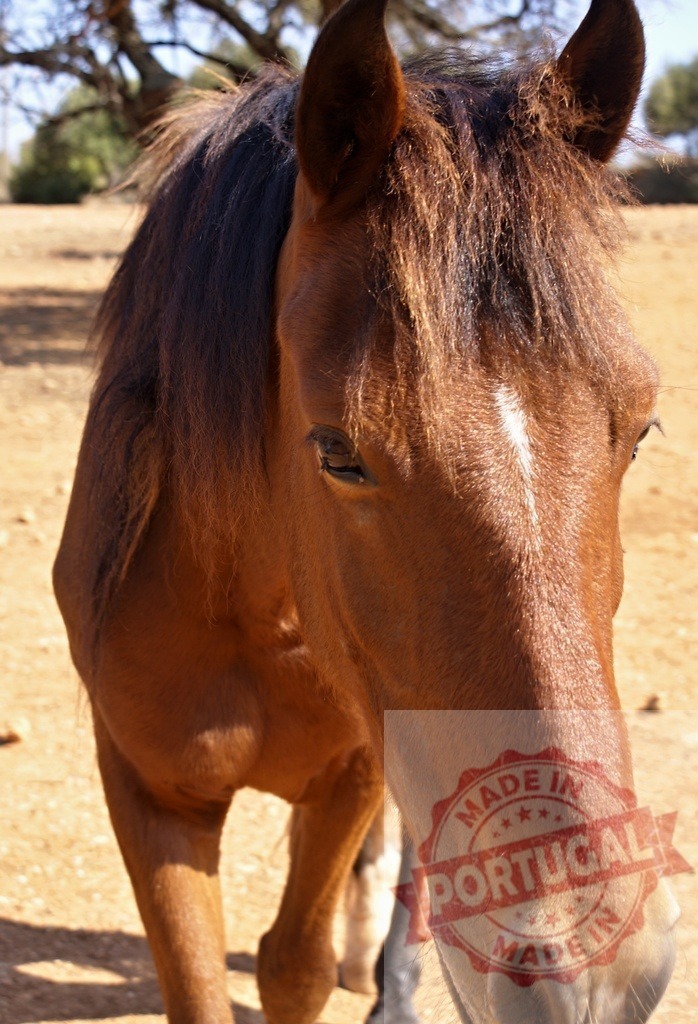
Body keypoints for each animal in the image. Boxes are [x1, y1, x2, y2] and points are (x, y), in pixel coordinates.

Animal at [53, 0, 680, 1020]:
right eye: (337, 454)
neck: (246, 615)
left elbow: (293, 961)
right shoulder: (150, 795)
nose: (593, 973)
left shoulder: (350, 774)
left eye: (639, 429)